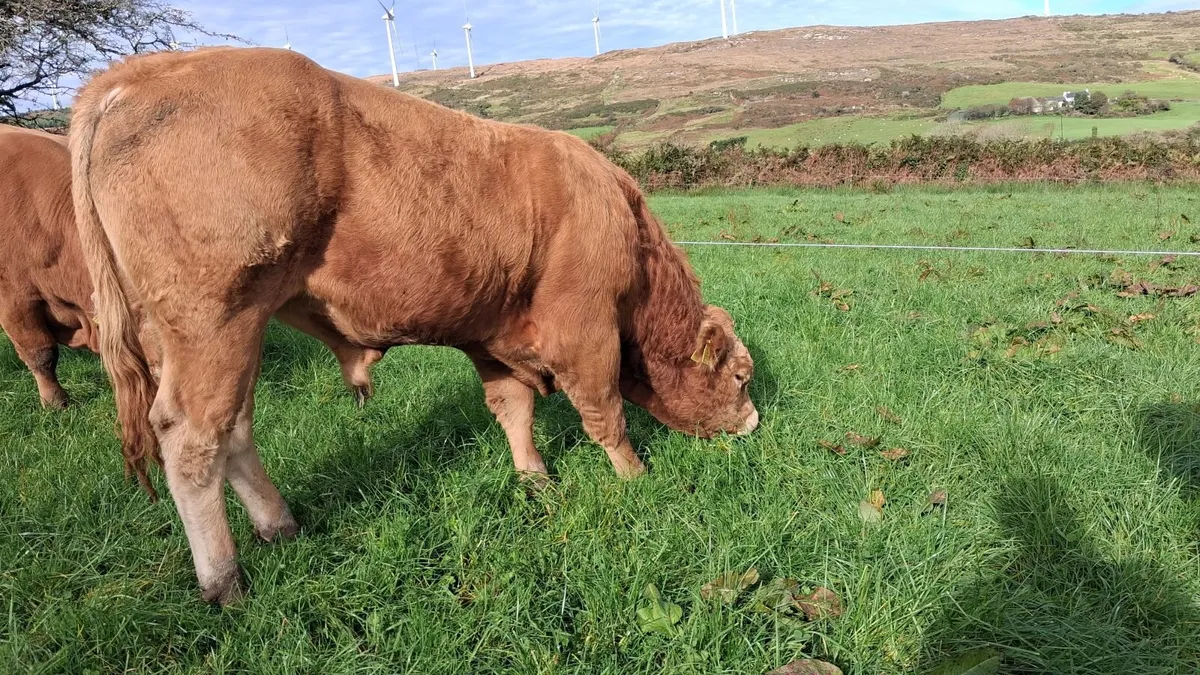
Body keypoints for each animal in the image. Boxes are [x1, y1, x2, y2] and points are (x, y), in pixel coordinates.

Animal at [71, 46, 758, 604]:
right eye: (741, 377)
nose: (753, 422)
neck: (620, 221)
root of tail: (132, 77)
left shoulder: (493, 338)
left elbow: (512, 409)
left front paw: (534, 479)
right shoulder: (583, 330)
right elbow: (605, 410)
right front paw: (637, 477)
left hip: (208, 333)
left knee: (232, 428)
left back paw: (280, 527)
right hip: (215, 320)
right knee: (190, 440)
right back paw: (225, 581)